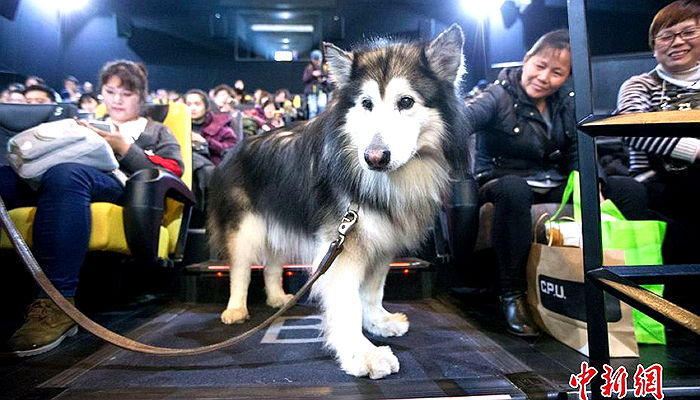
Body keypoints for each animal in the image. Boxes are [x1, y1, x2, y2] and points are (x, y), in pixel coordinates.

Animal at [208, 23, 470, 380]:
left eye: (406, 102)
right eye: (366, 104)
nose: (374, 158)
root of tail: (234, 149)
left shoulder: (380, 240)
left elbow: (373, 291)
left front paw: (378, 321)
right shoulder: (342, 246)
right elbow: (348, 303)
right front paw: (362, 353)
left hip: (279, 221)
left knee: (273, 264)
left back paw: (278, 298)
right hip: (246, 228)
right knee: (241, 270)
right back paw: (236, 308)